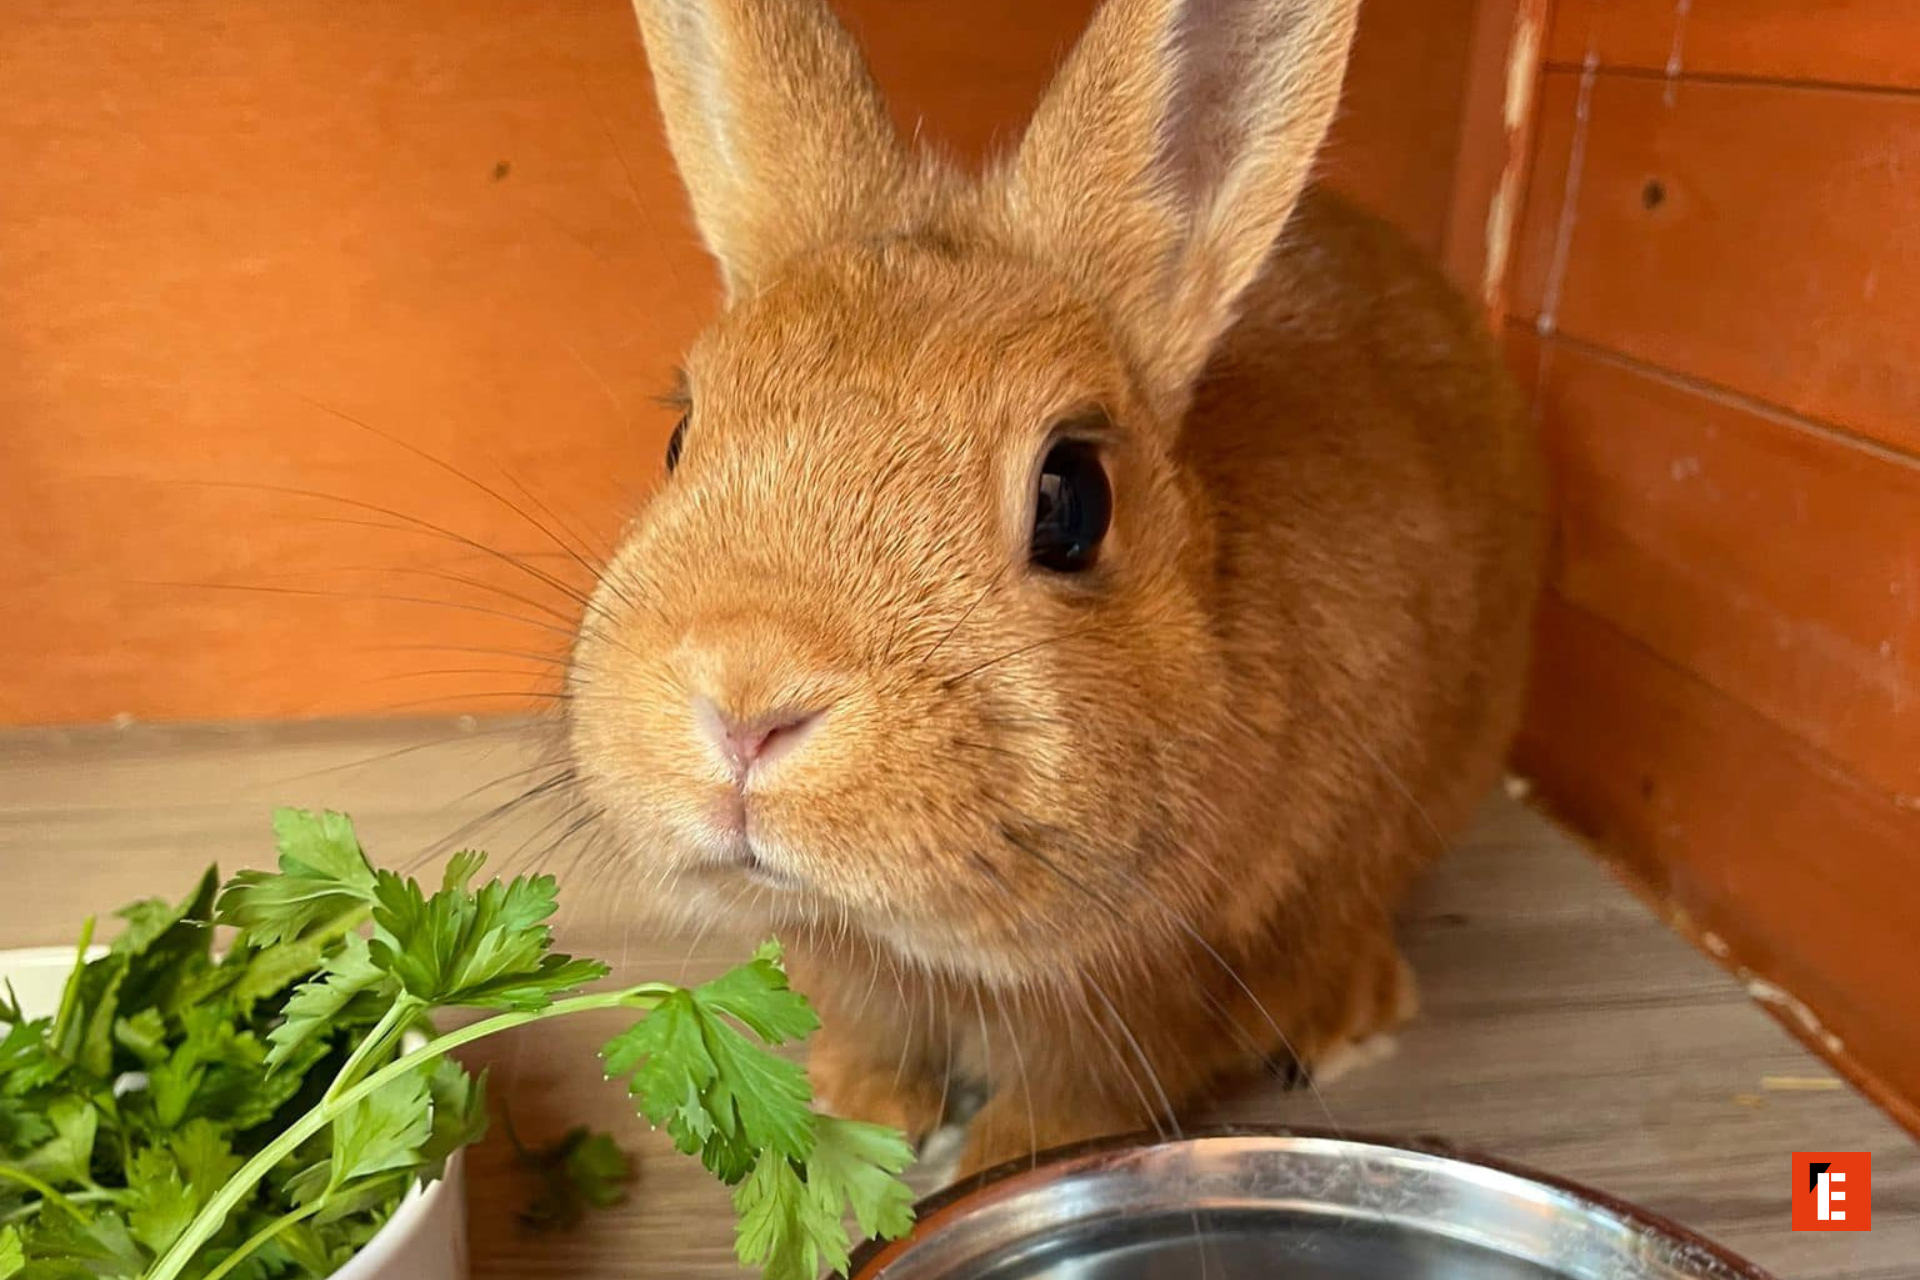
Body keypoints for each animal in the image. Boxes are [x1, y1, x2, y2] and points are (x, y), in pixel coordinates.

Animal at [568, 0, 1546, 1179]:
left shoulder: (1158, 993)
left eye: (1072, 497)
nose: (746, 703)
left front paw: (992, 1156)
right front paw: (860, 1108)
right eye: (679, 438)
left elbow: (1074, 1095)